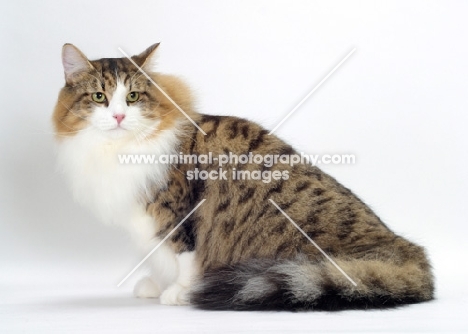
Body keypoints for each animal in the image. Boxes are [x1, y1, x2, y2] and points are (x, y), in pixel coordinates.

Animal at [54, 43, 436, 310]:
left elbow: (184, 257)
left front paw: (179, 292)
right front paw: (157, 285)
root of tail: (411, 254)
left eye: (132, 97)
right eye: (99, 97)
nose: (119, 116)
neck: (116, 150)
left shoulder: (178, 215)